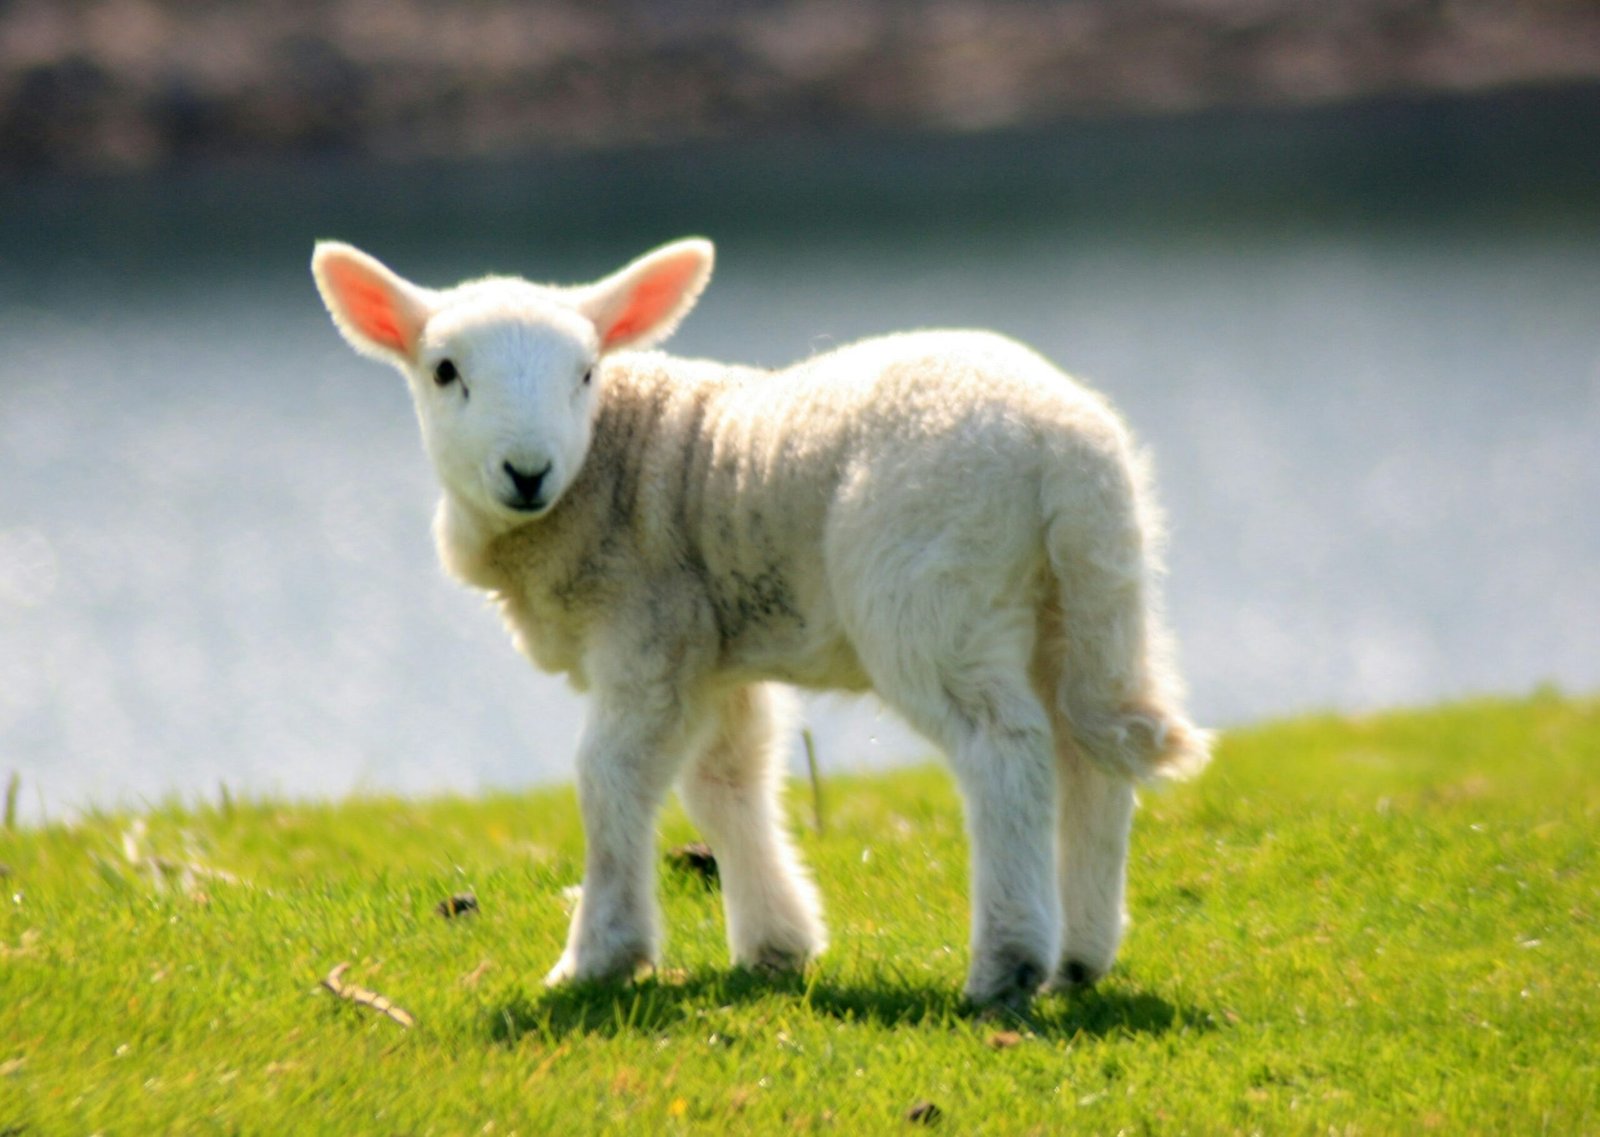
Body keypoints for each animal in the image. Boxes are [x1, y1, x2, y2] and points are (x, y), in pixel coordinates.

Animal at [310, 236, 1211, 1008]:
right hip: (1086, 594)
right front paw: (777, 943)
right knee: (1088, 752)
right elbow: (726, 779)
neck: (612, 461)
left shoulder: (649, 629)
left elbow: (610, 777)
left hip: (933, 589)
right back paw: (1080, 956)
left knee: (1007, 748)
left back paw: (1008, 963)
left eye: (587, 372)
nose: (526, 471)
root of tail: (1064, 450)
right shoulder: (711, 647)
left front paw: (599, 957)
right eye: (444, 371)